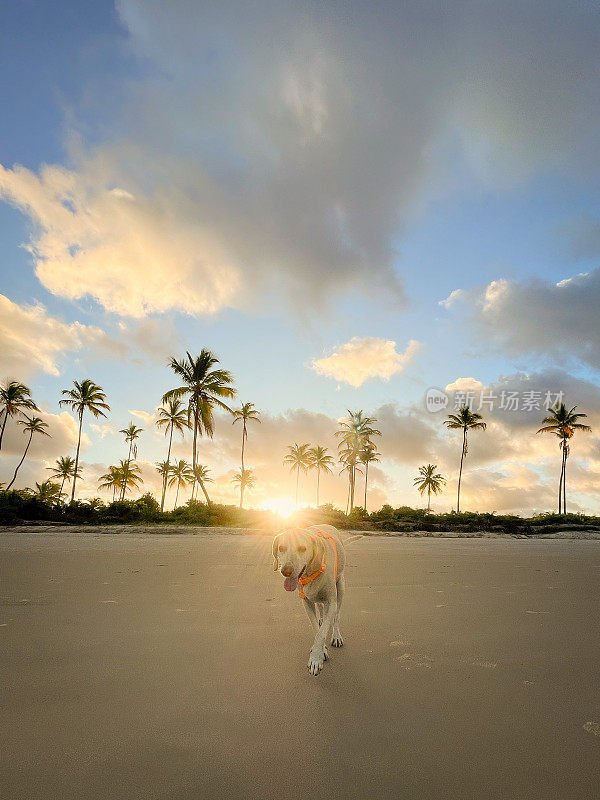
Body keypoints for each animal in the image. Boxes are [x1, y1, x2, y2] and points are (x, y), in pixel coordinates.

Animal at [274, 524, 346, 676]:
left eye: (302, 548)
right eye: (281, 548)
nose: (286, 571)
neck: (311, 571)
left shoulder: (331, 602)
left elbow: (321, 633)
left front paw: (315, 659)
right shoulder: (306, 602)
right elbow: (316, 628)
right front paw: (321, 650)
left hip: (341, 586)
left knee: (336, 616)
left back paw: (336, 635)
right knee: (321, 609)